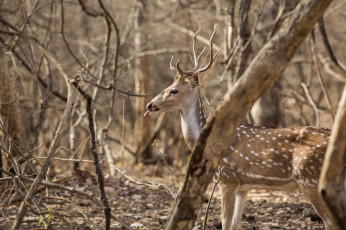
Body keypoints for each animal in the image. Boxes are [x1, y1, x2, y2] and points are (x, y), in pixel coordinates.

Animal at [144, 26, 344, 229]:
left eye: (174, 90)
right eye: (169, 85)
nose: (150, 105)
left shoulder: (227, 178)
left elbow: (225, 223)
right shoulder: (243, 187)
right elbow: (235, 224)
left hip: (310, 179)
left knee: (330, 222)